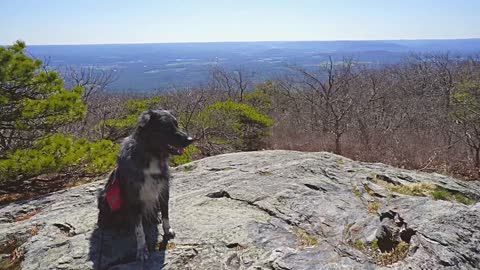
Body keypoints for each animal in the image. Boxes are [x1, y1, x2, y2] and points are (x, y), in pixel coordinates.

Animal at [96, 109, 194, 262]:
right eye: (167, 128)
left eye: (177, 125)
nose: (190, 139)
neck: (151, 155)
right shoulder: (134, 199)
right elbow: (139, 230)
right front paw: (142, 250)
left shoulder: (163, 190)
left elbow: (166, 214)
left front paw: (167, 230)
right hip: (104, 197)